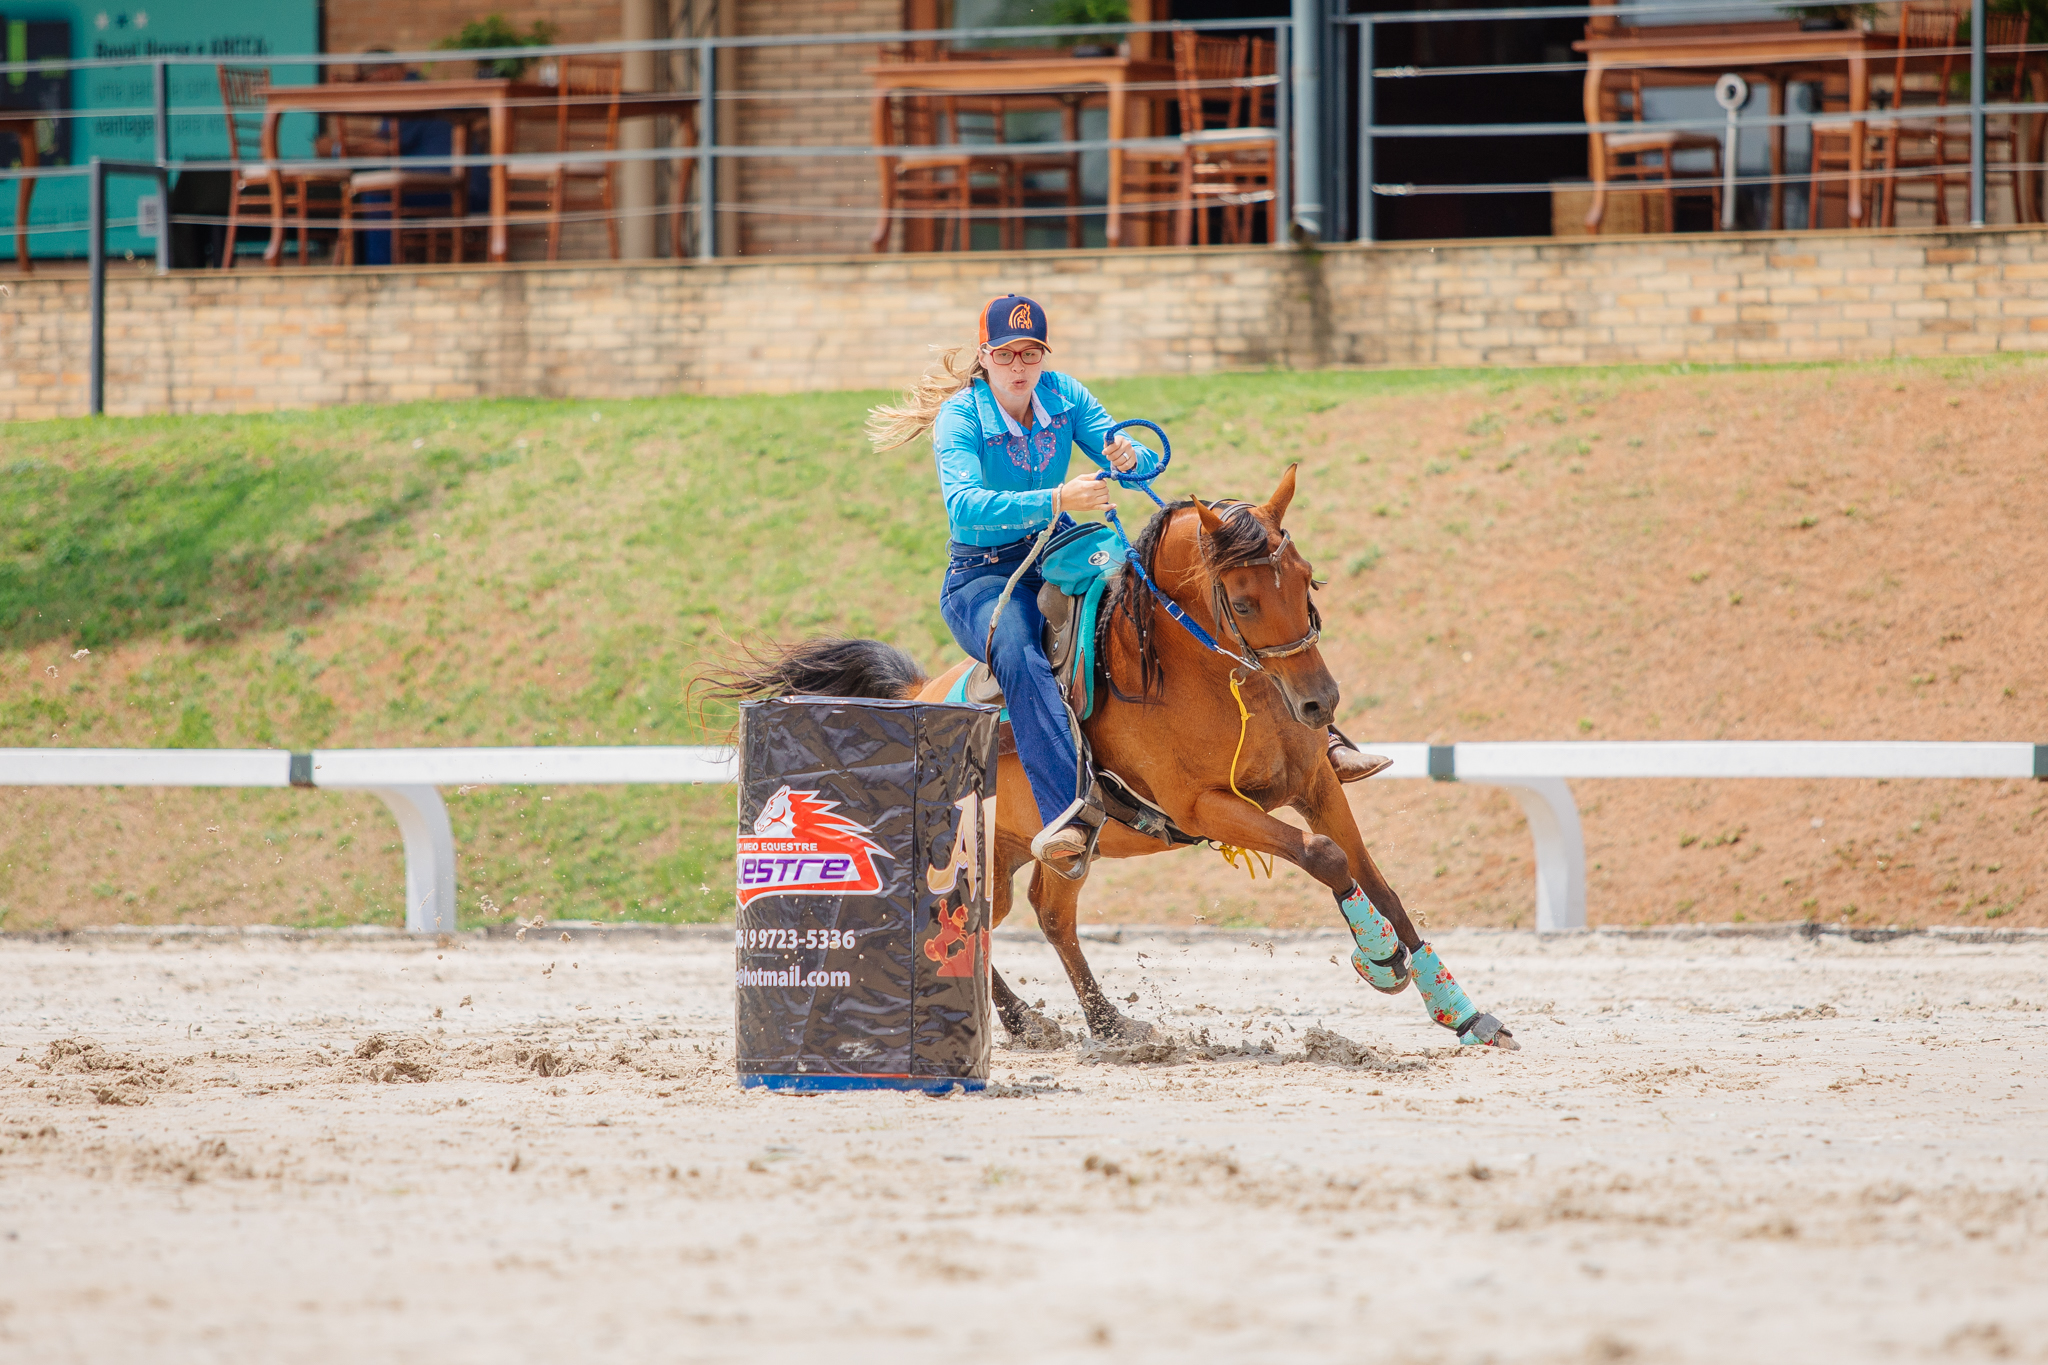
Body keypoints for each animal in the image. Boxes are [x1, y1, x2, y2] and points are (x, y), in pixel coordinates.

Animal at [704, 470, 1523, 1055]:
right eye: (1244, 601)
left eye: (1308, 578)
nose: (1320, 703)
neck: (1208, 678)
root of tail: (916, 695)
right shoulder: (1209, 808)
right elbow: (1325, 857)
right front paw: (1377, 958)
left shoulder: (1317, 784)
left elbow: (1378, 880)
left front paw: (1460, 1009)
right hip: (961, 846)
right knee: (944, 915)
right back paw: (1010, 1020)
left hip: (1030, 852)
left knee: (1032, 915)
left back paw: (1099, 1023)